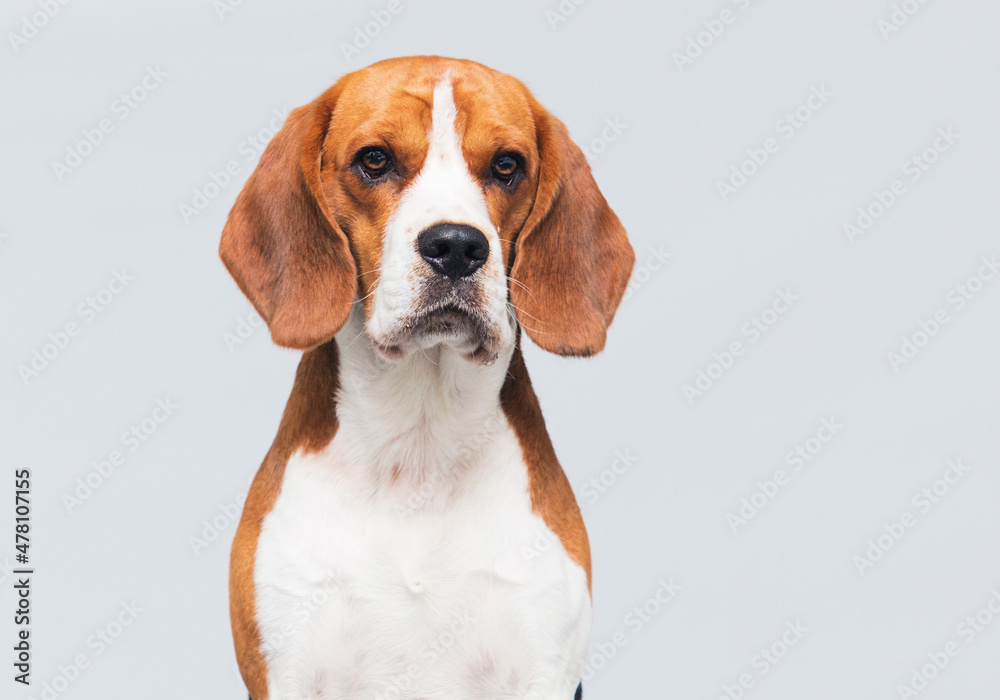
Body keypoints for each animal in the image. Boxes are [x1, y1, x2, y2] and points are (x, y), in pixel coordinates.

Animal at [222, 56, 632, 700]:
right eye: (375, 159)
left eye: (507, 165)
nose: (457, 246)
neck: (418, 443)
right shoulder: (288, 666)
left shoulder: (543, 665)